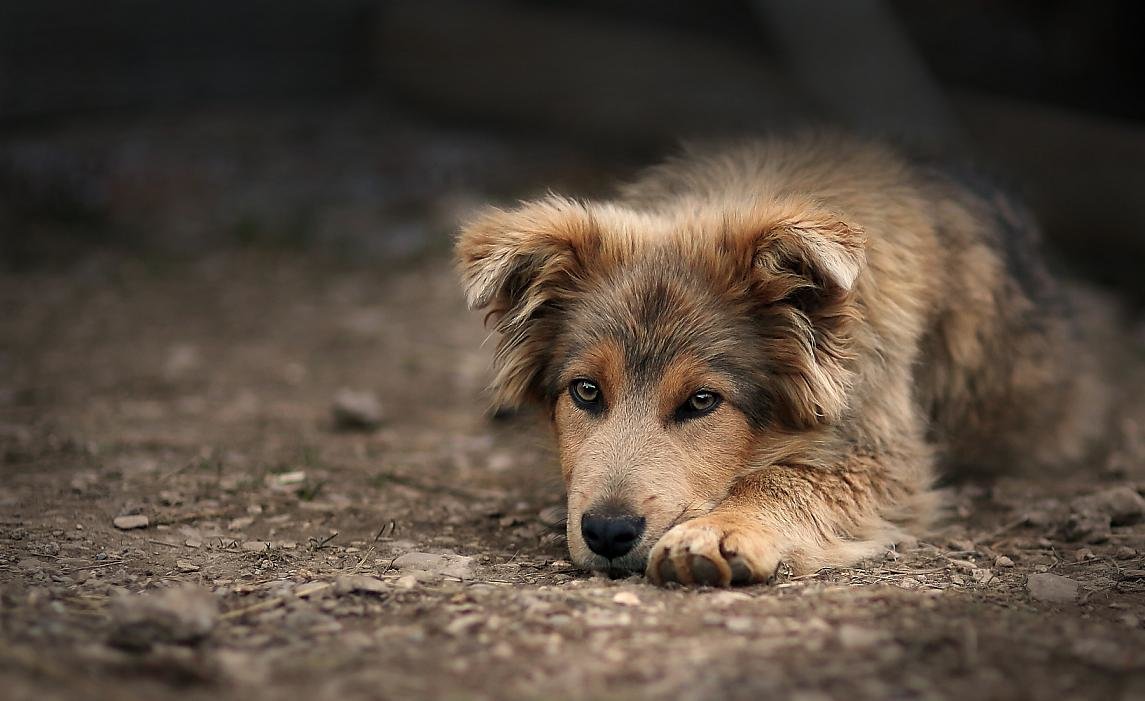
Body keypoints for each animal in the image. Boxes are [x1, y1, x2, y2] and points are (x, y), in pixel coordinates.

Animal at [453, 132, 1108, 586]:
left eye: (702, 401)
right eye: (586, 391)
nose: (608, 533)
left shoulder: (881, 455)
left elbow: (785, 476)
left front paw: (719, 531)